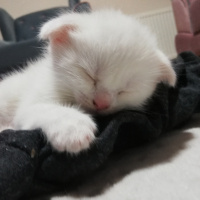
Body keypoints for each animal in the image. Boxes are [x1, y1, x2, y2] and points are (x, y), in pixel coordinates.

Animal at [0, 9, 175, 153]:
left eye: (126, 90)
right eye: (89, 75)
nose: (101, 103)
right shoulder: (32, 100)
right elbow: (41, 109)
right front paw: (72, 127)